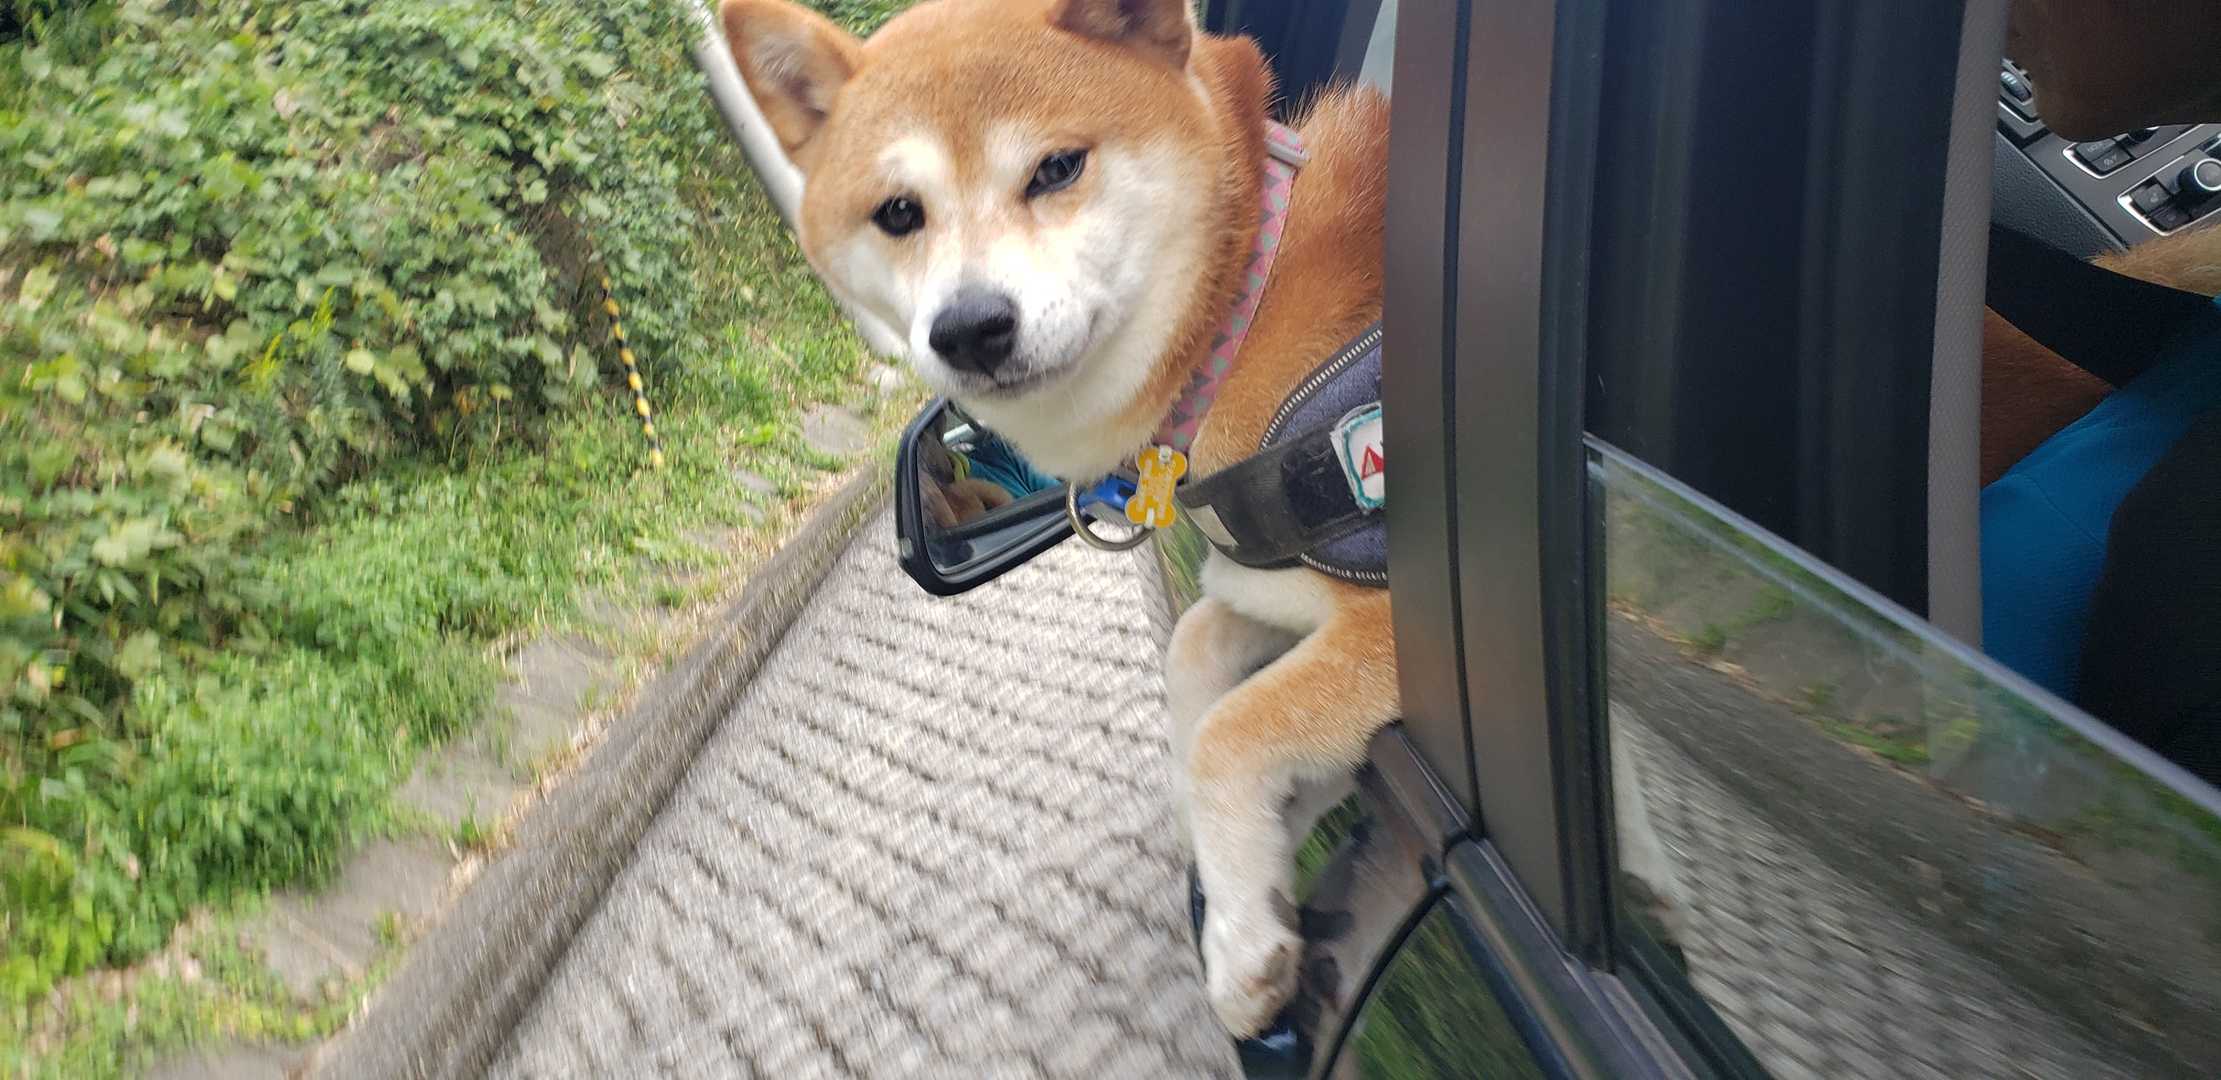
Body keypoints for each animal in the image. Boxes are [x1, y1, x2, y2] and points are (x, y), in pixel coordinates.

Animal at [719, 0, 1391, 1035]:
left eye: (1057, 168)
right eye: (899, 213)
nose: (968, 328)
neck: (1242, 305)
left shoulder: (1391, 624)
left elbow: (1230, 733)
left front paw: (1243, 947)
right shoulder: (1266, 585)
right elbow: (1196, 658)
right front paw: (1257, 859)